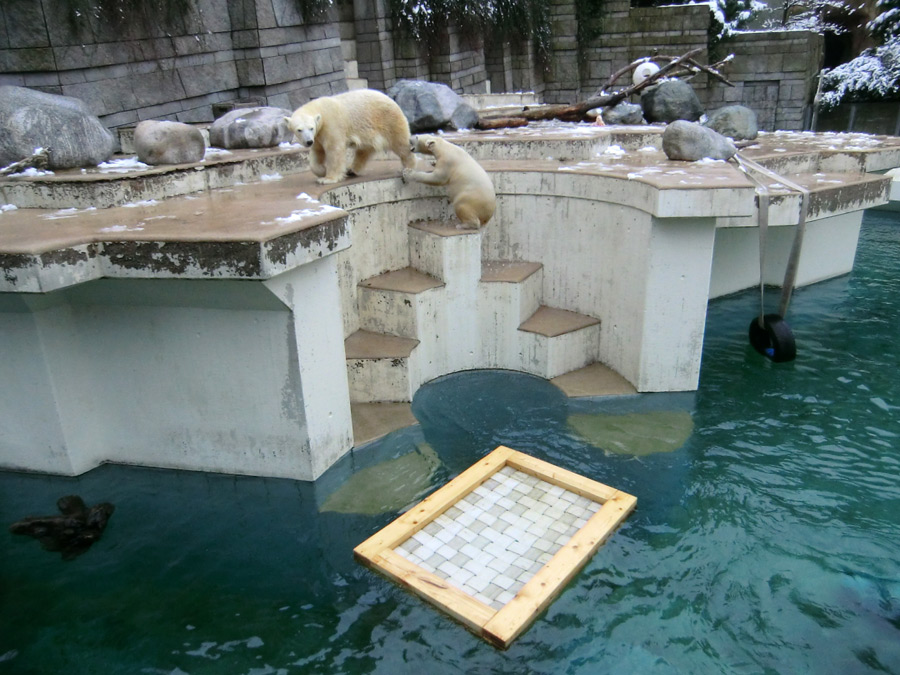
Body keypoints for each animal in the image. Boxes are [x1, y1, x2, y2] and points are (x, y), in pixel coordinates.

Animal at [286, 90, 416, 186]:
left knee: (400, 143)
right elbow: (317, 152)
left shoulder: (331, 125)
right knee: (364, 150)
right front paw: (321, 171)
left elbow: (334, 150)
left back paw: (408, 167)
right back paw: (351, 170)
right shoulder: (318, 136)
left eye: (311, 128)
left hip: (388, 120)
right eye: (299, 130)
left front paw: (327, 179)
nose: (308, 141)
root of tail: (391, 99)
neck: (320, 109)